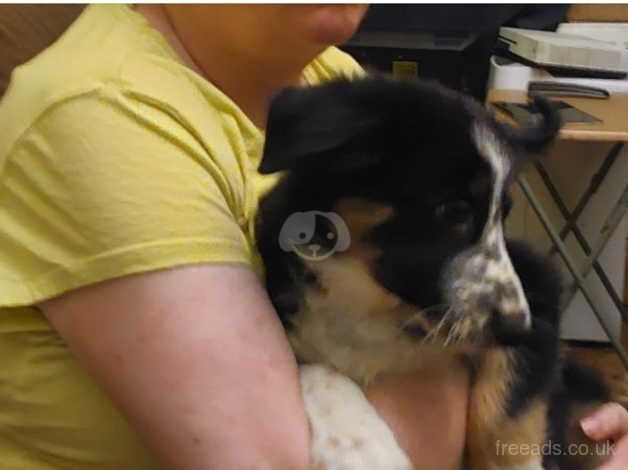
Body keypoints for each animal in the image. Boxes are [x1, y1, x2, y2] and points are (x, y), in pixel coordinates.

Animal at [254, 77, 608, 470]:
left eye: (503, 215)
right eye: (455, 211)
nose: (516, 327)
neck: (369, 300)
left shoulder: (540, 289)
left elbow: (504, 410)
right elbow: (318, 369)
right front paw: (362, 448)